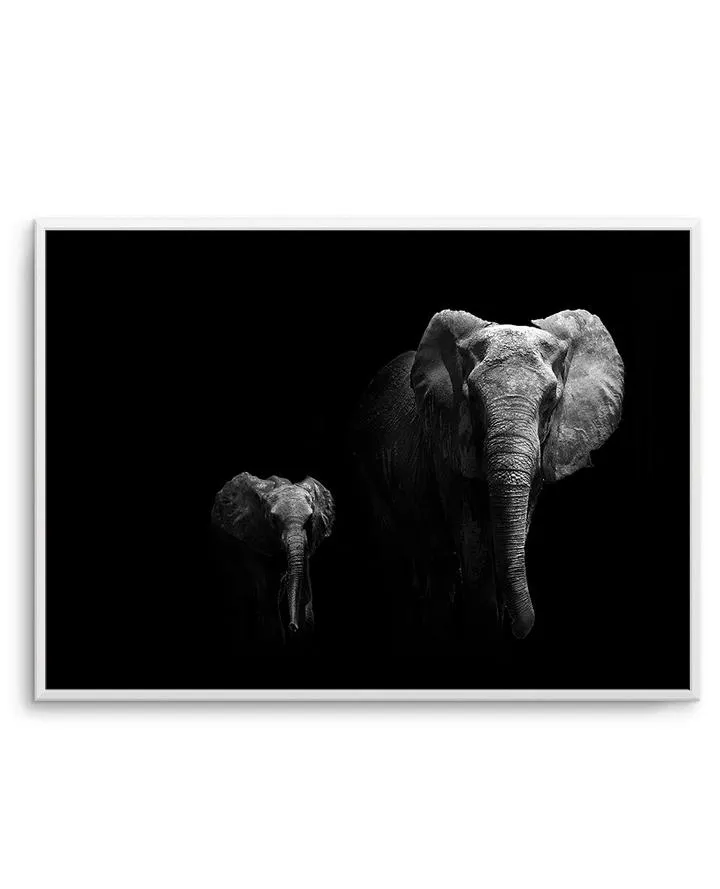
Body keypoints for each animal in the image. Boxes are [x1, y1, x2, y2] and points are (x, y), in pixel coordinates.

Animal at [210, 473, 335, 641]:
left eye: (310, 519)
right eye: (273, 520)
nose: (292, 626)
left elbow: (305, 594)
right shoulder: (253, 537)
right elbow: (269, 598)